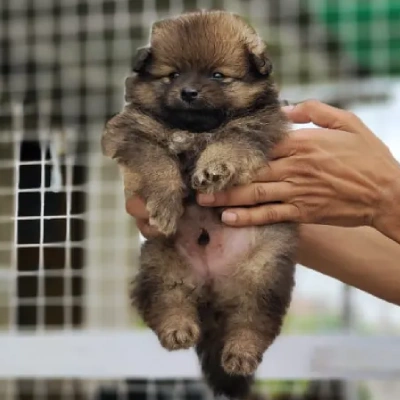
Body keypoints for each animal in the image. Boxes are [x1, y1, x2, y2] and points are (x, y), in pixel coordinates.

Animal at [101, 10, 298, 400]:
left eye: (217, 75)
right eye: (173, 75)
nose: (188, 92)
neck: (194, 128)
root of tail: (212, 289)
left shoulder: (256, 127)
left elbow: (231, 141)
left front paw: (213, 167)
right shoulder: (135, 132)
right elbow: (157, 163)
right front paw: (165, 204)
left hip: (264, 274)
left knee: (253, 322)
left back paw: (240, 354)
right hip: (161, 265)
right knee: (168, 302)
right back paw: (179, 330)